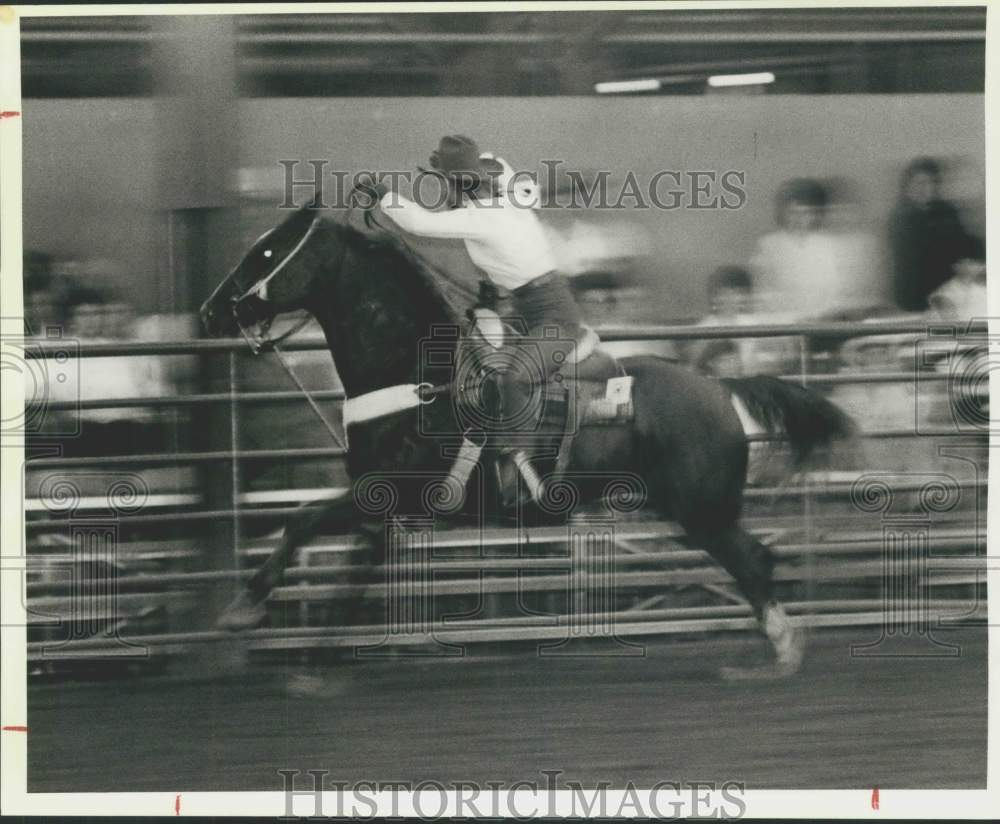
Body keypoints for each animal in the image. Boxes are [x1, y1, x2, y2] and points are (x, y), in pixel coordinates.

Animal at [201, 201, 852, 676]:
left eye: (266, 250)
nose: (210, 312)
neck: (419, 374)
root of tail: (720, 387)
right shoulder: (380, 510)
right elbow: (352, 571)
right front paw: (315, 659)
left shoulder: (381, 492)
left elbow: (302, 520)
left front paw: (241, 610)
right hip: (696, 511)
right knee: (755, 561)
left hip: (703, 512)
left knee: (754, 561)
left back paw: (780, 653)